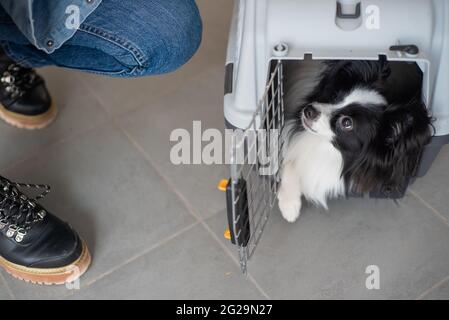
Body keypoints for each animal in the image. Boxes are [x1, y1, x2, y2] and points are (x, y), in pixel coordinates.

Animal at [278, 58, 432, 222]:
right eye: (335, 96)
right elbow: (289, 160)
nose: (308, 110)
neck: (324, 146)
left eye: (347, 123)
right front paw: (289, 203)